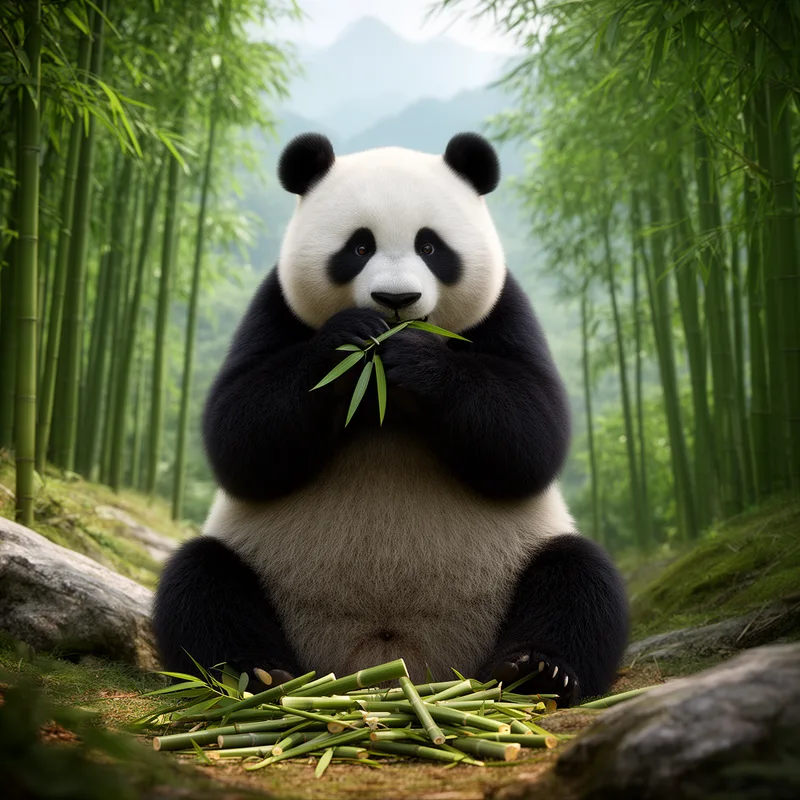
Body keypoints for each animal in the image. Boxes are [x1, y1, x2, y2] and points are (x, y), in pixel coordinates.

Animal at [153, 132, 629, 704]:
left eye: (431, 247)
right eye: (359, 248)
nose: (396, 299)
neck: (382, 394)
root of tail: (390, 665)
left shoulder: (504, 309)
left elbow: (532, 434)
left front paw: (417, 358)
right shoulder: (275, 305)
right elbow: (239, 435)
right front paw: (351, 339)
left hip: (511, 571)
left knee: (579, 578)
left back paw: (536, 670)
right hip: (267, 577)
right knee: (200, 581)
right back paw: (257, 675)